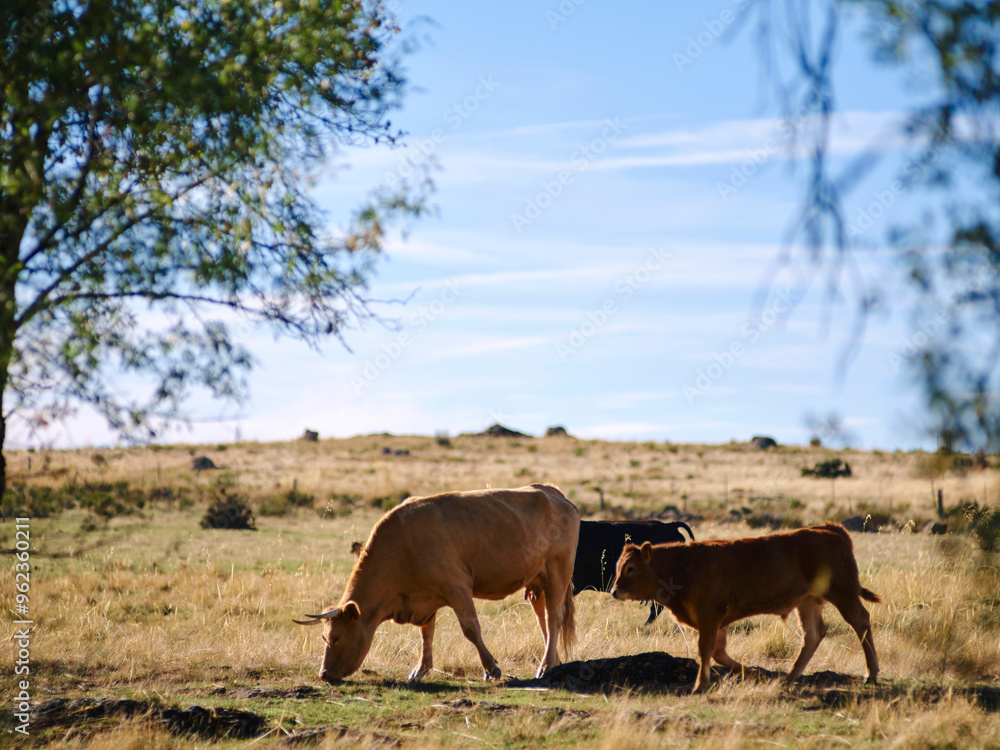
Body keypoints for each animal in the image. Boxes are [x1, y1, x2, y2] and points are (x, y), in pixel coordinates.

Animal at [295, 484, 579, 683]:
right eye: (324, 637)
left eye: (336, 637)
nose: (323, 674)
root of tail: (552, 492)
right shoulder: (423, 599)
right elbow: (426, 633)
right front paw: (421, 669)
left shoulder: (457, 586)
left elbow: (470, 629)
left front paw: (491, 669)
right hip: (537, 584)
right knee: (544, 621)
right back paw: (552, 663)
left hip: (558, 572)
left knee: (553, 617)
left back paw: (545, 666)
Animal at [610, 522, 880, 693]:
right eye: (618, 567)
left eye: (630, 568)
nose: (614, 591)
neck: (684, 565)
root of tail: (829, 528)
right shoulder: (719, 620)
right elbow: (718, 653)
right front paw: (753, 672)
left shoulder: (709, 615)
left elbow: (705, 649)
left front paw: (700, 685)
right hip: (807, 602)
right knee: (812, 635)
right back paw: (790, 677)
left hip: (843, 593)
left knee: (860, 622)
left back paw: (871, 674)